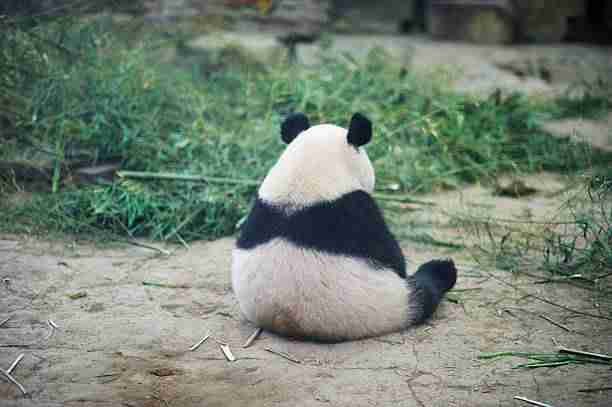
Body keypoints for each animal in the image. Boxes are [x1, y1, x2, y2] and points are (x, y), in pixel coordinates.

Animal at [232, 111, 456, 342]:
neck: (308, 170)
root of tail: (288, 324)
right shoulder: (357, 210)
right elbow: (392, 257)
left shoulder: (260, 207)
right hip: (392, 303)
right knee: (426, 290)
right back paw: (443, 269)